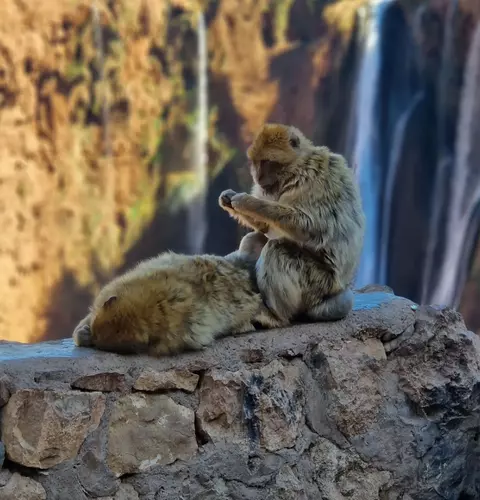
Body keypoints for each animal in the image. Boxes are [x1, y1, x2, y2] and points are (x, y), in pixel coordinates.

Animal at [218, 121, 364, 324]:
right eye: (255, 162)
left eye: (267, 162)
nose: (257, 177)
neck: (296, 167)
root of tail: (337, 290)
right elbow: (264, 226)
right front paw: (228, 198)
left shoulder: (312, 180)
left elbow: (311, 227)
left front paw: (247, 201)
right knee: (255, 239)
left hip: (317, 283)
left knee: (277, 249)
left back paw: (277, 315)